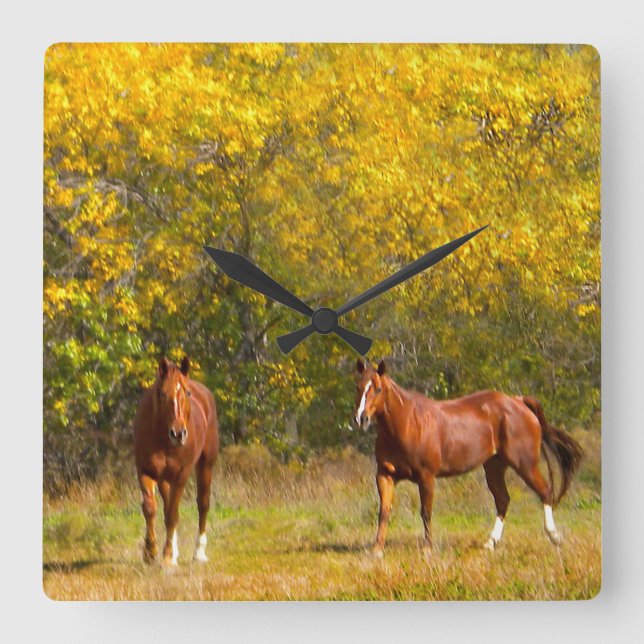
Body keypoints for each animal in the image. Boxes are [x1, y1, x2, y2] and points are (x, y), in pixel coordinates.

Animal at [134, 356, 219, 566]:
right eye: (162, 393)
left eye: (187, 392)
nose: (178, 433)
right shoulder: (145, 471)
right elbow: (151, 508)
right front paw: (150, 552)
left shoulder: (182, 474)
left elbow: (172, 514)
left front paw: (166, 556)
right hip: (165, 477)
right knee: (166, 505)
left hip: (206, 464)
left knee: (203, 503)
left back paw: (199, 552)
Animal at [353, 359, 583, 558]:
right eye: (358, 387)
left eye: (378, 389)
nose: (361, 418)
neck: (408, 423)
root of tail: (518, 401)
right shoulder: (385, 475)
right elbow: (384, 511)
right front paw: (377, 550)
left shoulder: (426, 477)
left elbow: (426, 512)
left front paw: (427, 549)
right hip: (494, 467)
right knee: (503, 500)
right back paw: (490, 543)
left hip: (525, 464)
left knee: (545, 491)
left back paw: (554, 536)